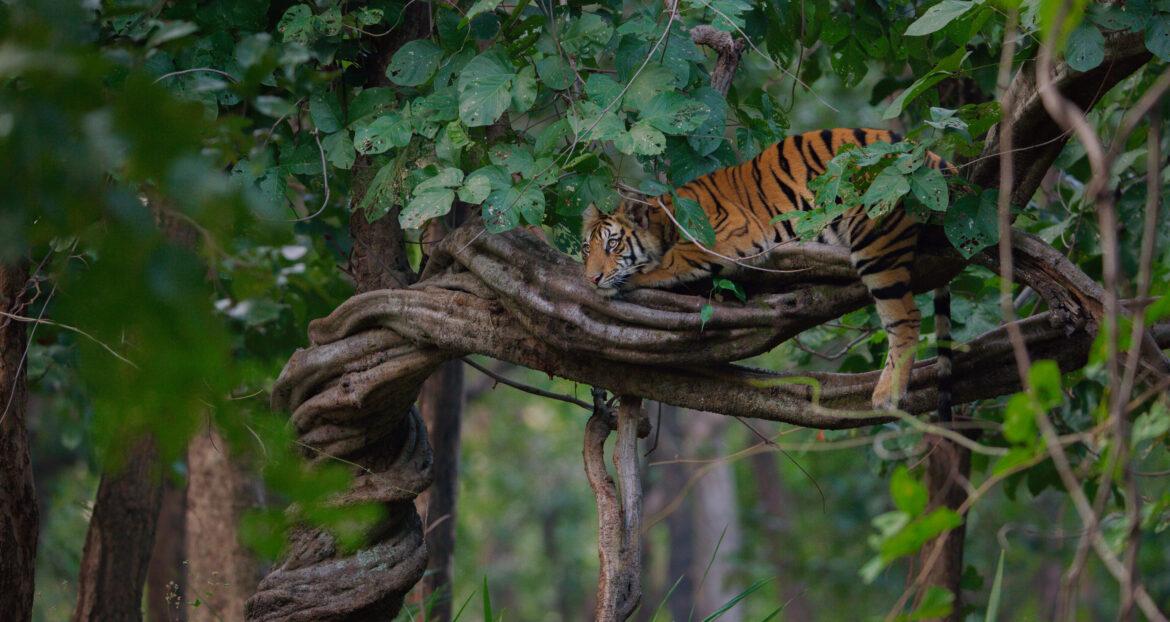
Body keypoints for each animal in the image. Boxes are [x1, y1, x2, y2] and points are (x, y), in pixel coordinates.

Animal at [581, 128, 955, 412]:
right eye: (587, 249)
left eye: (612, 245)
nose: (592, 278)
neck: (665, 222)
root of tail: (930, 155)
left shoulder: (729, 231)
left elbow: (673, 261)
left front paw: (634, 278)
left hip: (876, 238)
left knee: (905, 317)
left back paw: (887, 395)